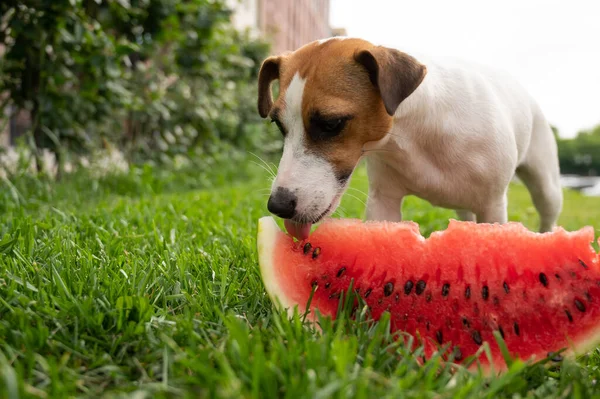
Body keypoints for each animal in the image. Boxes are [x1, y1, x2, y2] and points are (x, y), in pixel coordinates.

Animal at [256, 36, 564, 241]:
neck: (418, 134)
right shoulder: (384, 201)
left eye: (332, 124)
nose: (278, 205)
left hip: (546, 185)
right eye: (278, 125)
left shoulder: (493, 207)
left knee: (547, 210)